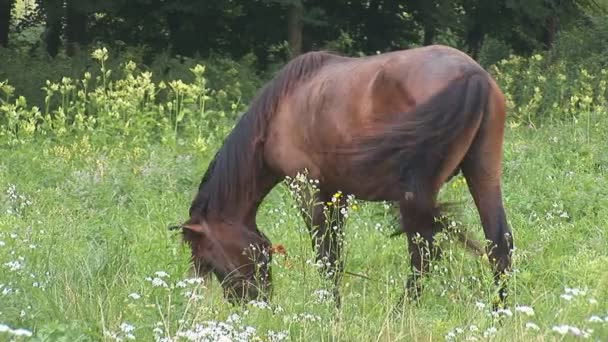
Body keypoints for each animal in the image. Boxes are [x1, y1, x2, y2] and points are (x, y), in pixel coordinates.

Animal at [170, 44, 512, 308]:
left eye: (212, 261)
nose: (249, 303)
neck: (281, 107)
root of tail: (472, 75)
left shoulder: (307, 189)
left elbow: (327, 257)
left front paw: (329, 308)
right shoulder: (339, 193)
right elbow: (336, 253)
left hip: (418, 195)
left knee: (422, 251)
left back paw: (403, 309)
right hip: (483, 173)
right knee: (499, 243)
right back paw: (499, 310)